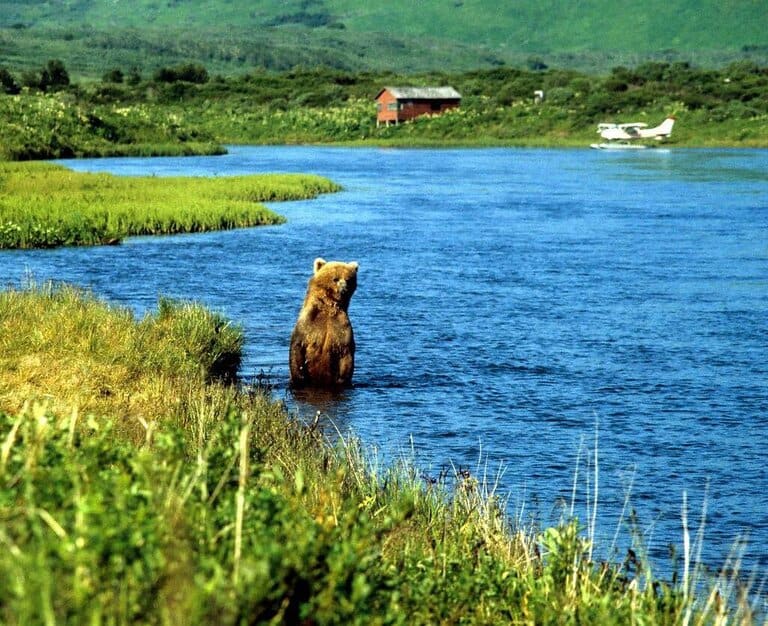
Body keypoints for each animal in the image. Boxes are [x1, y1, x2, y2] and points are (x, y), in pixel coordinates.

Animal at [290, 258, 358, 386]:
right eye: (335, 278)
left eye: (348, 279)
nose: (344, 289)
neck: (328, 308)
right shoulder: (307, 324)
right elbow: (297, 347)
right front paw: (299, 377)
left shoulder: (341, 328)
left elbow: (346, 353)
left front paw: (343, 379)